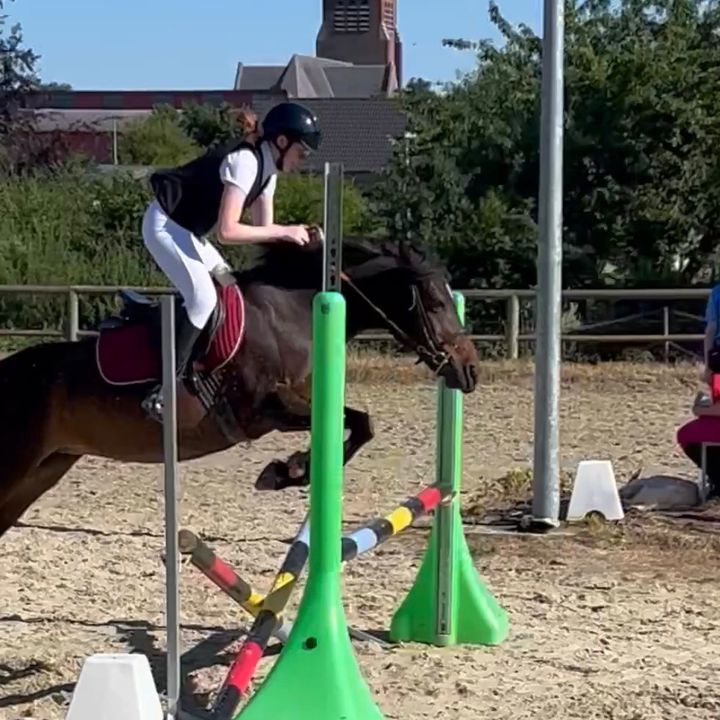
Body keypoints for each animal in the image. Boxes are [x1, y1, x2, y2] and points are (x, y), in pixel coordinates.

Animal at [0, 233, 479, 538]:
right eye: (435, 304)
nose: (469, 371)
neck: (291, 313)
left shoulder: (302, 400)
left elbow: (362, 424)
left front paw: (291, 470)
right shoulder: (265, 409)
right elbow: (355, 424)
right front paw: (289, 469)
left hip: (47, 468)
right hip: (20, 466)